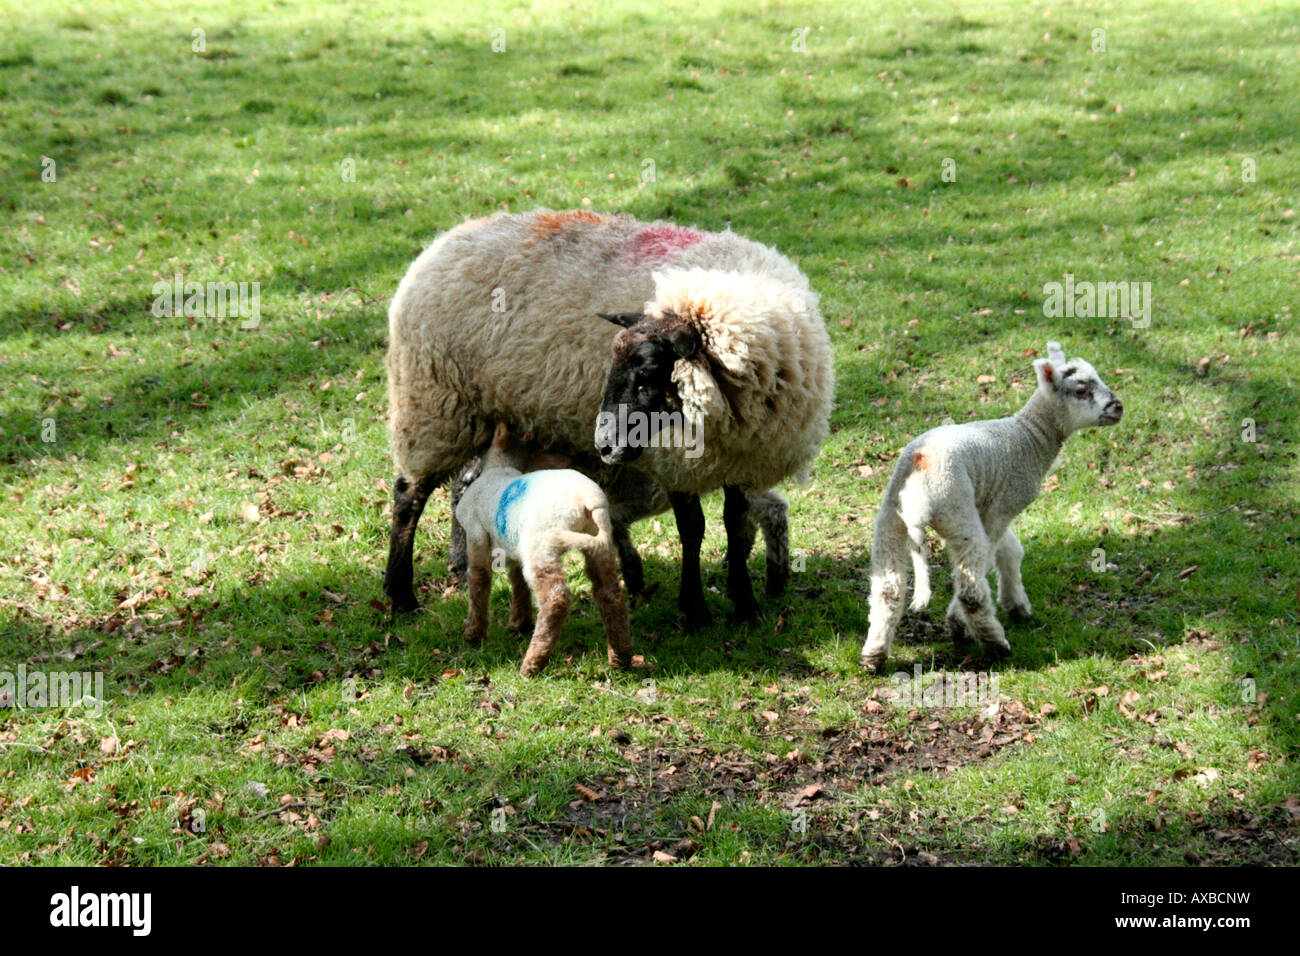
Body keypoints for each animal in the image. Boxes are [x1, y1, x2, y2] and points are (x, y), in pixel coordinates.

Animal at [384, 209, 832, 629]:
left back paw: (464, 564)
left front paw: (745, 605)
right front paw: (695, 609)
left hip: (487, 413)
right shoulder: (674, 460)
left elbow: (735, 525)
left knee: (466, 483)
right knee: (409, 495)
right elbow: (692, 528)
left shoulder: (740, 457)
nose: (603, 443)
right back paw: (400, 594)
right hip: (434, 404)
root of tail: (444, 240)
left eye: (648, 369)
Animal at [454, 421, 631, 676]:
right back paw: (620, 658)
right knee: (610, 594)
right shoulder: (512, 547)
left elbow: (478, 581)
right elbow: (518, 582)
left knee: (556, 598)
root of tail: (588, 498)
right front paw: (519, 622)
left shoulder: (476, 535)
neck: (503, 466)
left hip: (541, 546)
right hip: (599, 544)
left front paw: (473, 633)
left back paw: (532, 663)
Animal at [857, 343, 1123, 671]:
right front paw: (959, 623)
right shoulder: (1004, 504)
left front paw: (1017, 605)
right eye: (1081, 390)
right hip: (957, 510)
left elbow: (1011, 551)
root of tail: (920, 468)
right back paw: (995, 645)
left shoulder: (991, 504)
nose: (1118, 407)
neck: (1030, 436)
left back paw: (873, 656)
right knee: (971, 588)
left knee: (888, 590)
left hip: (890, 518)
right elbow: (994, 557)